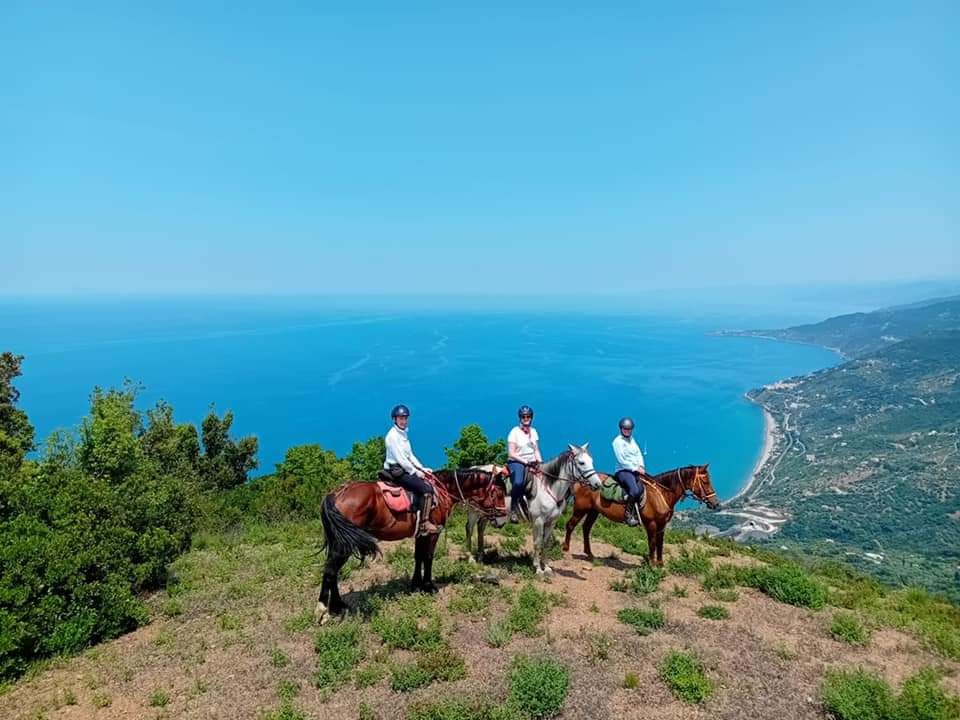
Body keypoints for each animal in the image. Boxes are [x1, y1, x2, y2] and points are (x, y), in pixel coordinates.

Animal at [316, 466, 509, 623]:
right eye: (499, 494)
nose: (501, 521)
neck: (444, 490)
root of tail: (335, 494)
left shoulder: (421, 535)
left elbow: (418, 557)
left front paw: (416, 584)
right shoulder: (433, 533)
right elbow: (428, 557)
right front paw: (428, 586)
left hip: (339, 541)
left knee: (332, 570)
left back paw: (338, 606)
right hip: (344, 544)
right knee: (331, 570)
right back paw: (322, 611)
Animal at [465, 444, 601, 576]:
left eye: (591, 461)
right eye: (582, 463)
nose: (598, 484)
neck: (549, 488)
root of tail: (473, 469)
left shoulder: (551, 522)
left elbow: (546, 543)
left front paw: (546, 567)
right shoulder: (538, 521)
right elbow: (537, 542)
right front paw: (538, 568)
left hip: (486, 512)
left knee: (480, 528)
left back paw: (481, 557)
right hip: (473, 510)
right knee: (469, 528)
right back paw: (471, 558)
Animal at [562, 464, 720, 566]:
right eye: (705, 481)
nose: (716, 503)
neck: (661, 494)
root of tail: (580, 481)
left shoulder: (662, 525)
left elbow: (660, 544)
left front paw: (660, 564)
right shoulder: (651, 524)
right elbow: (652, 543)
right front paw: (651, 564)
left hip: (594, 511)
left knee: (586, 528)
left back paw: (589, 553)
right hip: (580, 509)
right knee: (570, 525)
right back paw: (565, 548)